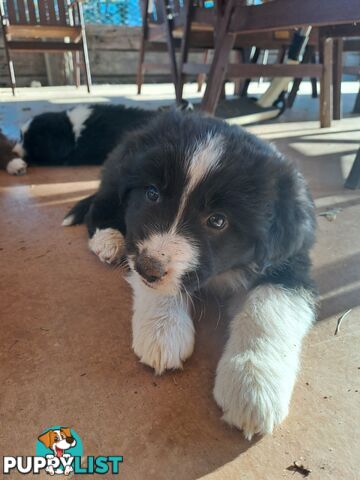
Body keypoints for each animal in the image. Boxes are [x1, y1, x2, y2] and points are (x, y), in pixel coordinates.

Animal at [63, 110, 316, 440]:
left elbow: (268, 311)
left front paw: (252, 383)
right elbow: (161, 286)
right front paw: (163, 331)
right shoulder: (139, 245)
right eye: (152, 194)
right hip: (117, 174)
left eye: (218, 221)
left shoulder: (289, 264)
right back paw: (108, 240)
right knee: (101, 202)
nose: (147, 267)